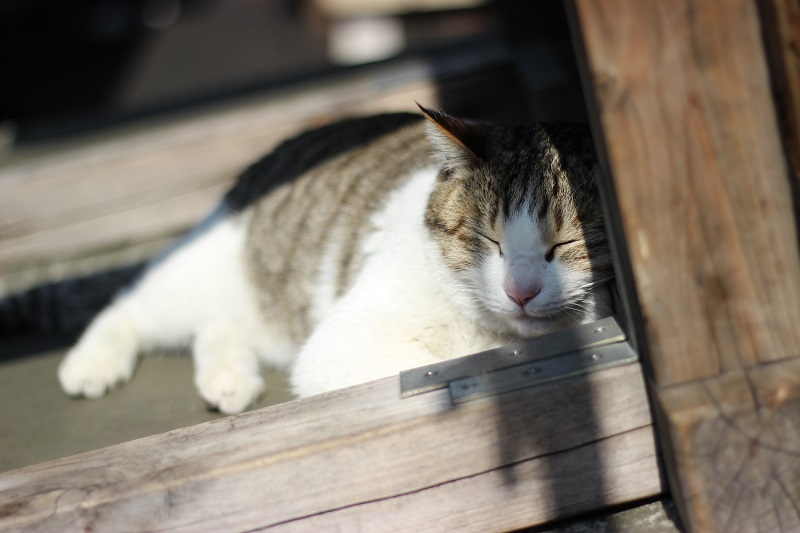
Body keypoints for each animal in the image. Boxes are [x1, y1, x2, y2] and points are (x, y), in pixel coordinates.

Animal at [59, 106, 616, 414]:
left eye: (566, 244)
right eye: (488, 239)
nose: (519, 290)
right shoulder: (338, 343)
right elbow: (431, 364)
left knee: (218, 328)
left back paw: (228, 377)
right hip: (198, 277)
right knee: (129, 306)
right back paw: (90, 365)